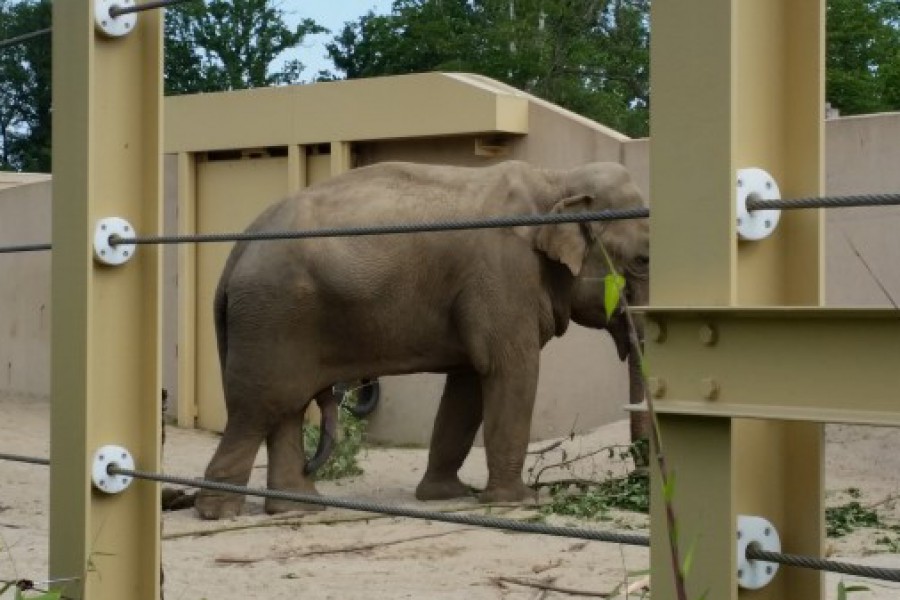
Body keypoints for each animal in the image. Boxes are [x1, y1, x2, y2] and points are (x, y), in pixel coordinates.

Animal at [195, 161, 648, 520]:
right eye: (643, 260)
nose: (636, 479)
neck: (557, 178)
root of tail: (237, 249)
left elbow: (467, 386)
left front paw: (446, 495)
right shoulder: (505, 275)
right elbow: (510, 371)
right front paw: (518, 502)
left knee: (285, 407)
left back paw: (297, 506)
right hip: (273, 314)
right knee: (258, 407)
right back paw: (219, 512)